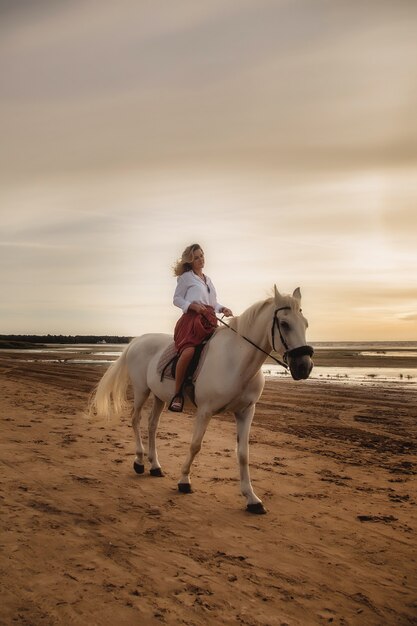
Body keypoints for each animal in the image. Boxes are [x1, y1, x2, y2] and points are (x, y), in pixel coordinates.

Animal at [88, 286, 312, 512]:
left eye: (306, 323)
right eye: (284, 324)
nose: (305, 367)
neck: (236, 361)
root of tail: (138, 340)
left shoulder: (246, 412)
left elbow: (243, 454)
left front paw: (252, 499)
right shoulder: (205, 411)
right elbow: (195, 445)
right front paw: (184, 481)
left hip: (159, 396)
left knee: (152, 425)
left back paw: (155, 466)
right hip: (142, 390)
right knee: (135, 420)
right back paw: (140, 462)